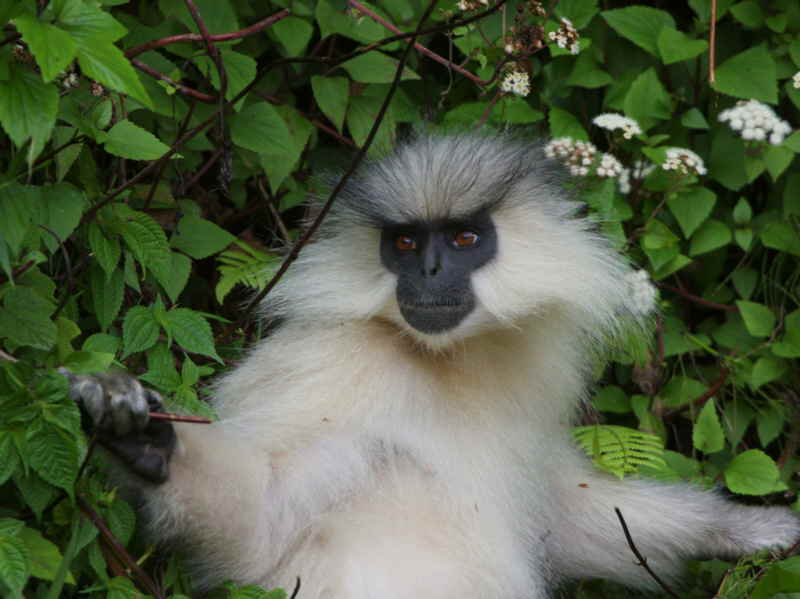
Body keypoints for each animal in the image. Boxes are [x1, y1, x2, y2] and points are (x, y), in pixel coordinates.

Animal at [67, 134, 800, 596]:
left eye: (465, 237)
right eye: (404, 242)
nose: (427, 271)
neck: (444, 362)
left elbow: (562, 516)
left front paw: (744, 531)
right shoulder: (326, 365)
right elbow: (261, 527)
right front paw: (148, 443)